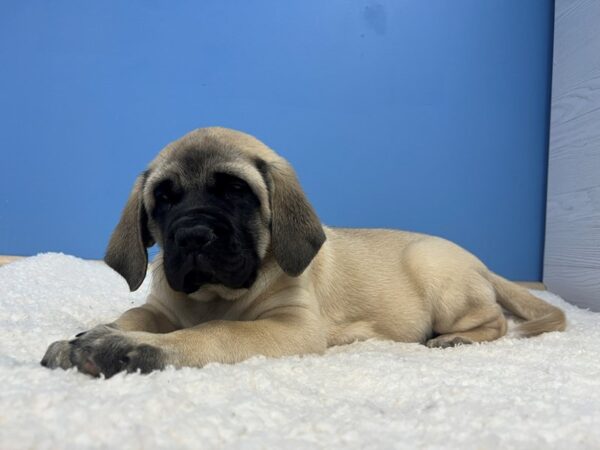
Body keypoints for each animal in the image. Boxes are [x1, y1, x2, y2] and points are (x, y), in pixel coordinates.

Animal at [42, 126, 568, 376]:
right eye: (164, 199)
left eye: (236, 192)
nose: (192, 236)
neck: (214, 296)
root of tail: (482, 265)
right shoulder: (161, 308)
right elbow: (133, 315)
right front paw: (94, 334)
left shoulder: (290, 326)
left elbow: (216, 332)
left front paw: (128, 349)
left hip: (437, 273)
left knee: (496, 322)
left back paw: (455, 339)